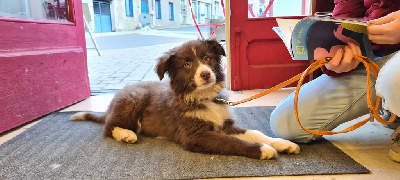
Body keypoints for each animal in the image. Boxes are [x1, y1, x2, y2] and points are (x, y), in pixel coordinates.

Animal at [71, 38, 300, 159]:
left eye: (207, 58)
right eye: (187, 65)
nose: (206, 74)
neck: (203, 98)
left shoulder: (225, 124)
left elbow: (253, 133)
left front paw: (282, 143)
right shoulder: (194, 135)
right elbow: (231, 141)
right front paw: (264, 150)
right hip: (133, 98)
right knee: (108, 127)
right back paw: (126, 134)